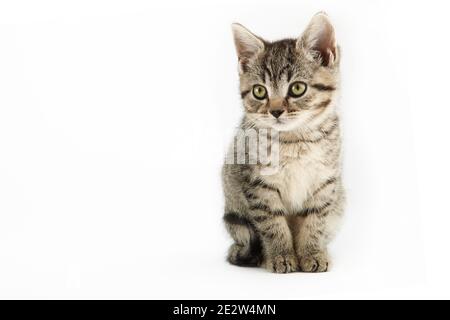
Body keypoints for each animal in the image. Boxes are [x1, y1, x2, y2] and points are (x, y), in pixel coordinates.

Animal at [221, 12, 344, 272]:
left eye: (297, 88)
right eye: (259, 92)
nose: (276, 111)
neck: (294, 139)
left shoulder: (325, 182)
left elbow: (314, 222)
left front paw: (311, 253)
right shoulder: (258, 184)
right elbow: (273, 224)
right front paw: (281, 256)